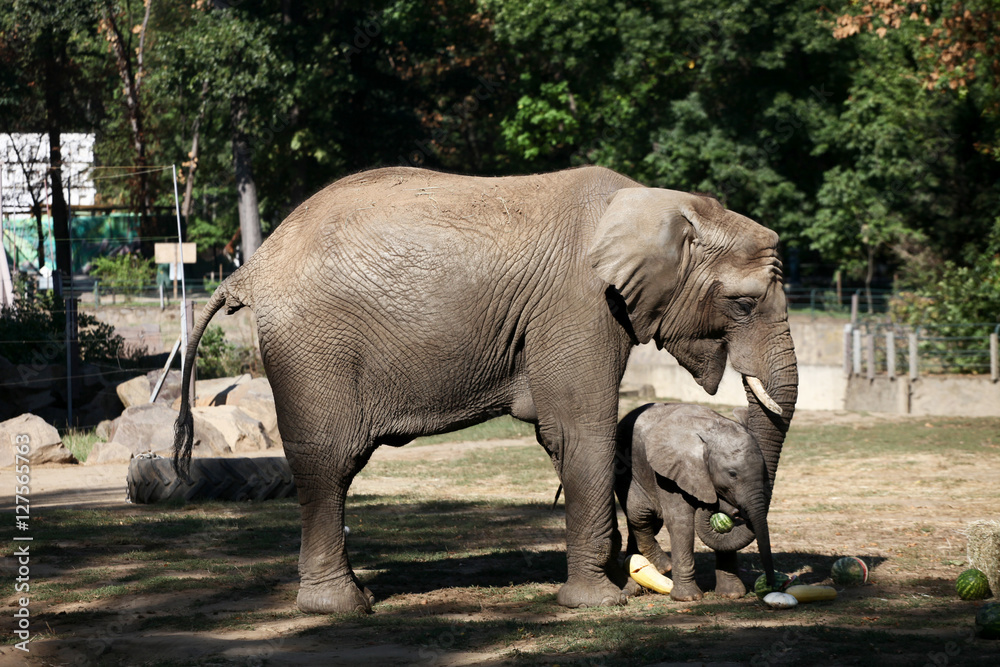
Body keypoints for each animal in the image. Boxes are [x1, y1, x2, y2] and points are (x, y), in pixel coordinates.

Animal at [615, 402, 773, 601]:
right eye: (732, 474)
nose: (735, 511)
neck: (710, 432)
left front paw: (731, 595)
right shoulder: (669, 473)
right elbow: (681, 522)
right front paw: (688, 598)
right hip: (625, 470)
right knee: (641, 515)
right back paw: (663, 566)